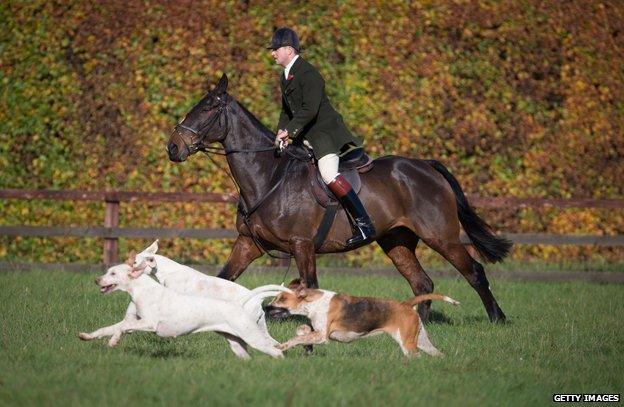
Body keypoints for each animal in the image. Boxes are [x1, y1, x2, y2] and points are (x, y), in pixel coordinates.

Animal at [167, 73, 512, 322]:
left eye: (207, 108)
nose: (173, 148)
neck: (268, 177)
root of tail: (426, 166)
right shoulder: (248, 243)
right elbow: (224, 278)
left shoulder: (302, 244)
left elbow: (310, 286)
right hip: (396, 240)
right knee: (422, 283)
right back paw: (419, 329)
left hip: (441, 237)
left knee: (474, 272)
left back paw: (498, 319)